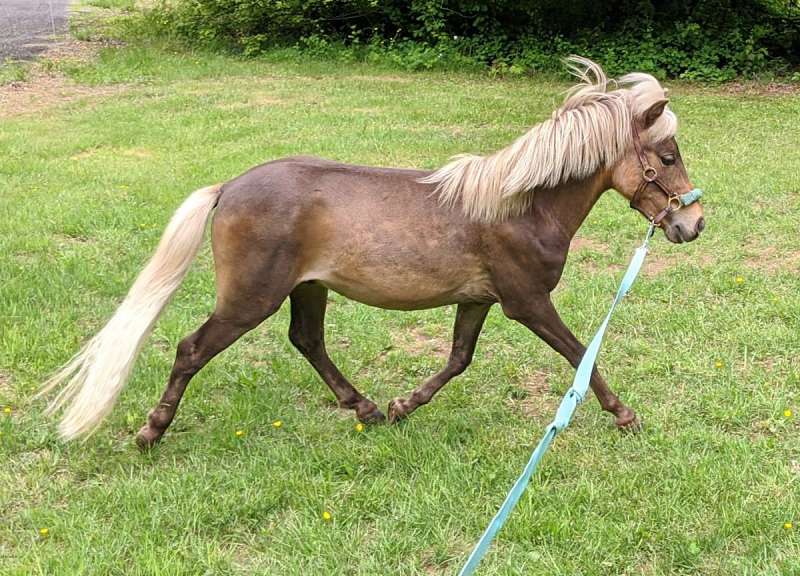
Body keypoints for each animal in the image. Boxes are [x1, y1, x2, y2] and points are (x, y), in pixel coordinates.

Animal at [40, 57, 705, 448]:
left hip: (306, 289)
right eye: (667, 155)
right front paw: (624, 415)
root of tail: (228, 187)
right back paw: (152, 432)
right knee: (191, 349)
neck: (520, 206)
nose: (692, 223)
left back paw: (364, 409)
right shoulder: (527, 302)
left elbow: (458, 359)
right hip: (251, 298)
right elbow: (578, 353)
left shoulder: (481, 300)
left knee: (307, 341)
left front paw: (404, 405)